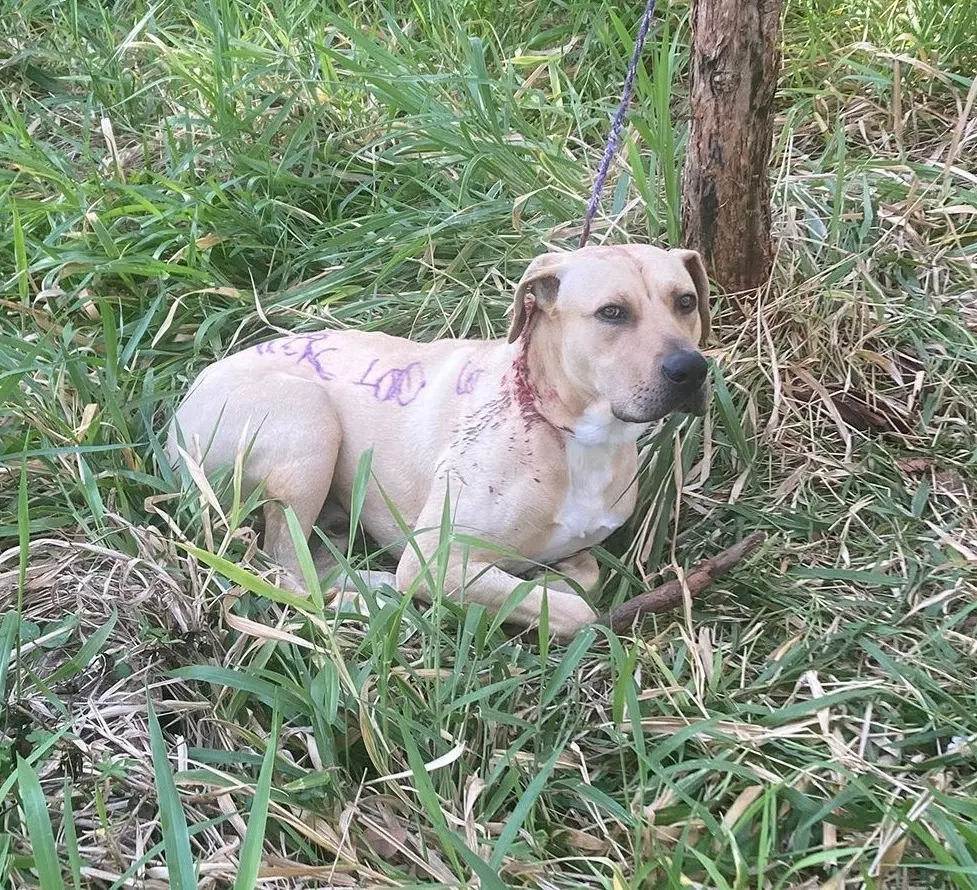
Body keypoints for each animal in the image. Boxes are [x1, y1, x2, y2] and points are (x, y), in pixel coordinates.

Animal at [166, 243, 711, 640]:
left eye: (685, 302)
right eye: (612, 313)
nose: (691, 369)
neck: (561, 429)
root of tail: (184, 401)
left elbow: (585, 571)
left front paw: (552, 576)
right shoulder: (436, 562)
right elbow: (578, 611)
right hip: (309, 418)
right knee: (285, 568)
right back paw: (369, 601)